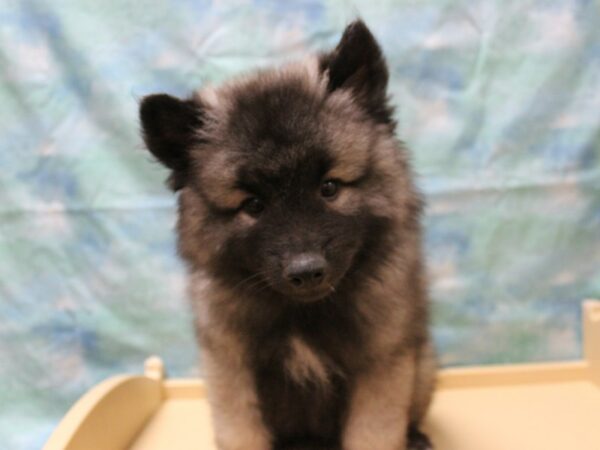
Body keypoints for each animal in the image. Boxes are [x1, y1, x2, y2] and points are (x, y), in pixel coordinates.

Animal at [141, 19, 436, 450]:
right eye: (253, 205)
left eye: (329, 187)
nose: (306, 271)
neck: (301, 313)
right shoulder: (231, 374)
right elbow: (240, 433)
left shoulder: (381, 367)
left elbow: (375, 433)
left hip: (422, 366)